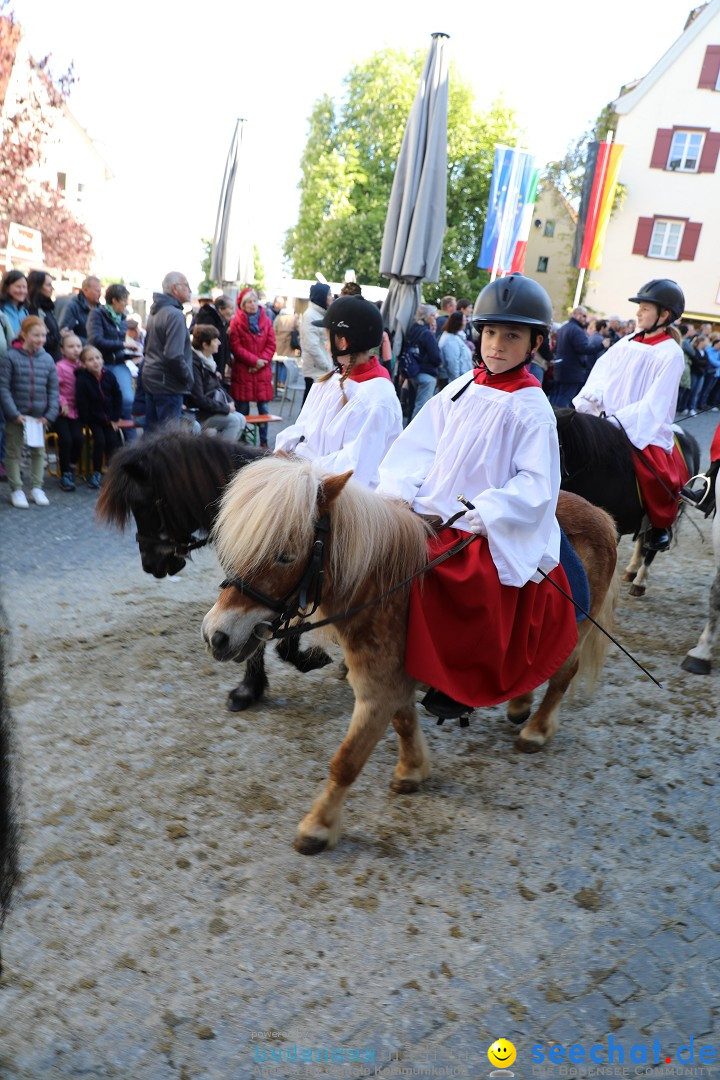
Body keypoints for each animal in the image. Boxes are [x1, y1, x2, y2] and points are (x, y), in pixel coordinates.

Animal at [202, 453, 621, 851]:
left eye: (286, 556)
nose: (216, 635)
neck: (386, 588)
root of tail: (601, 515)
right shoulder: (388, 682)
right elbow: (404, 723)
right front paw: (413, 770)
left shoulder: (377, 693)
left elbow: (347, 761)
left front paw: (318, 827)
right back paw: (520, 702)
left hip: (577, 631)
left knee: (563, 675)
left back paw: (536, 729)